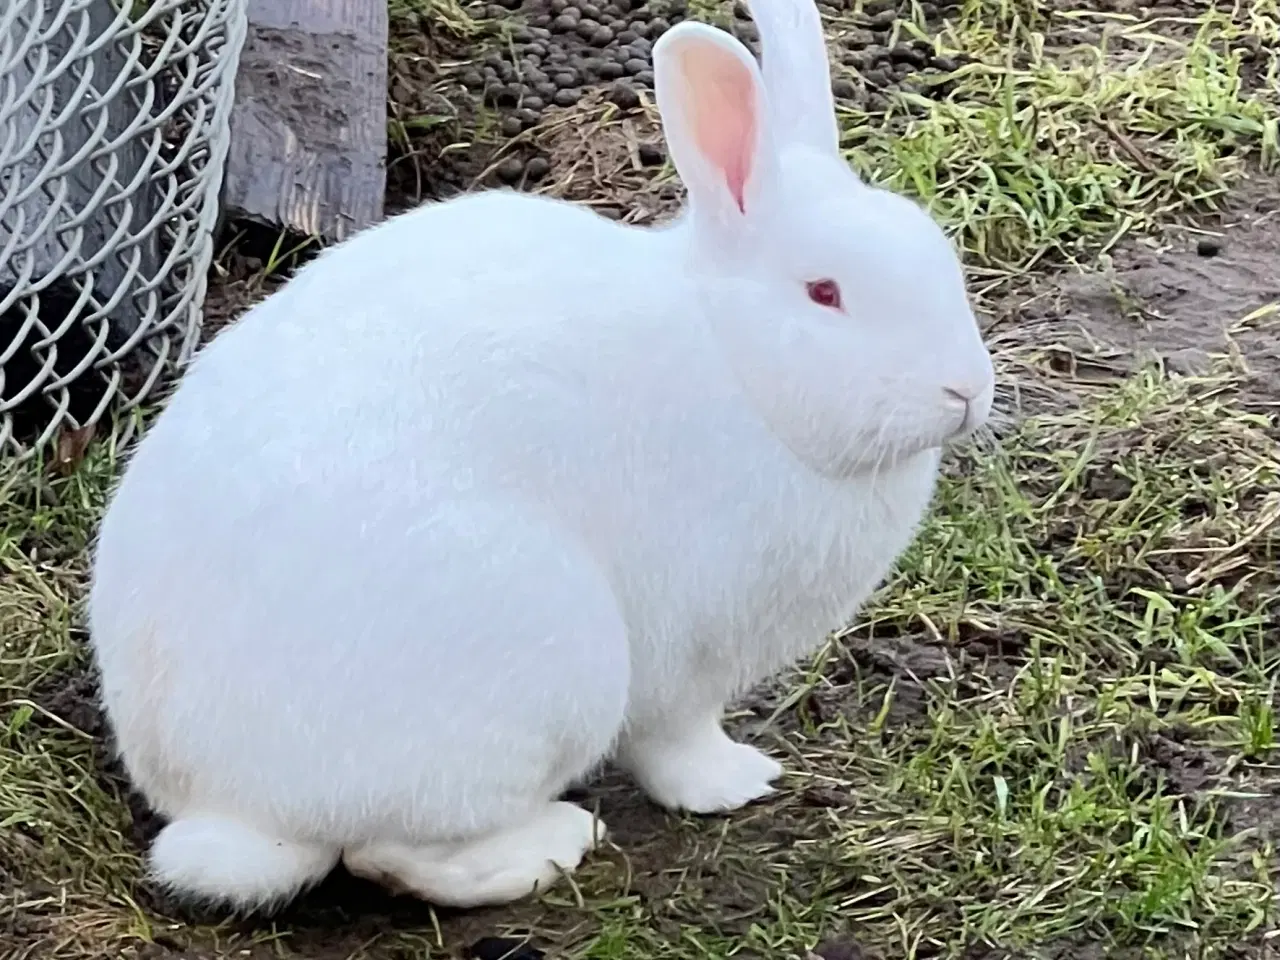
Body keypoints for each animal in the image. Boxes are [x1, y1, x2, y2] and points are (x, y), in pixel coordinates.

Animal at [85, 0, 993, 921]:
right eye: (824, 293)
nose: (964, 390)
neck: (734, 358)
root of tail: (231, 808)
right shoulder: (687, 655)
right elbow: (676, 738)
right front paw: (734, 782)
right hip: (549, 665)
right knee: (393, 853)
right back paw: (555, 842)